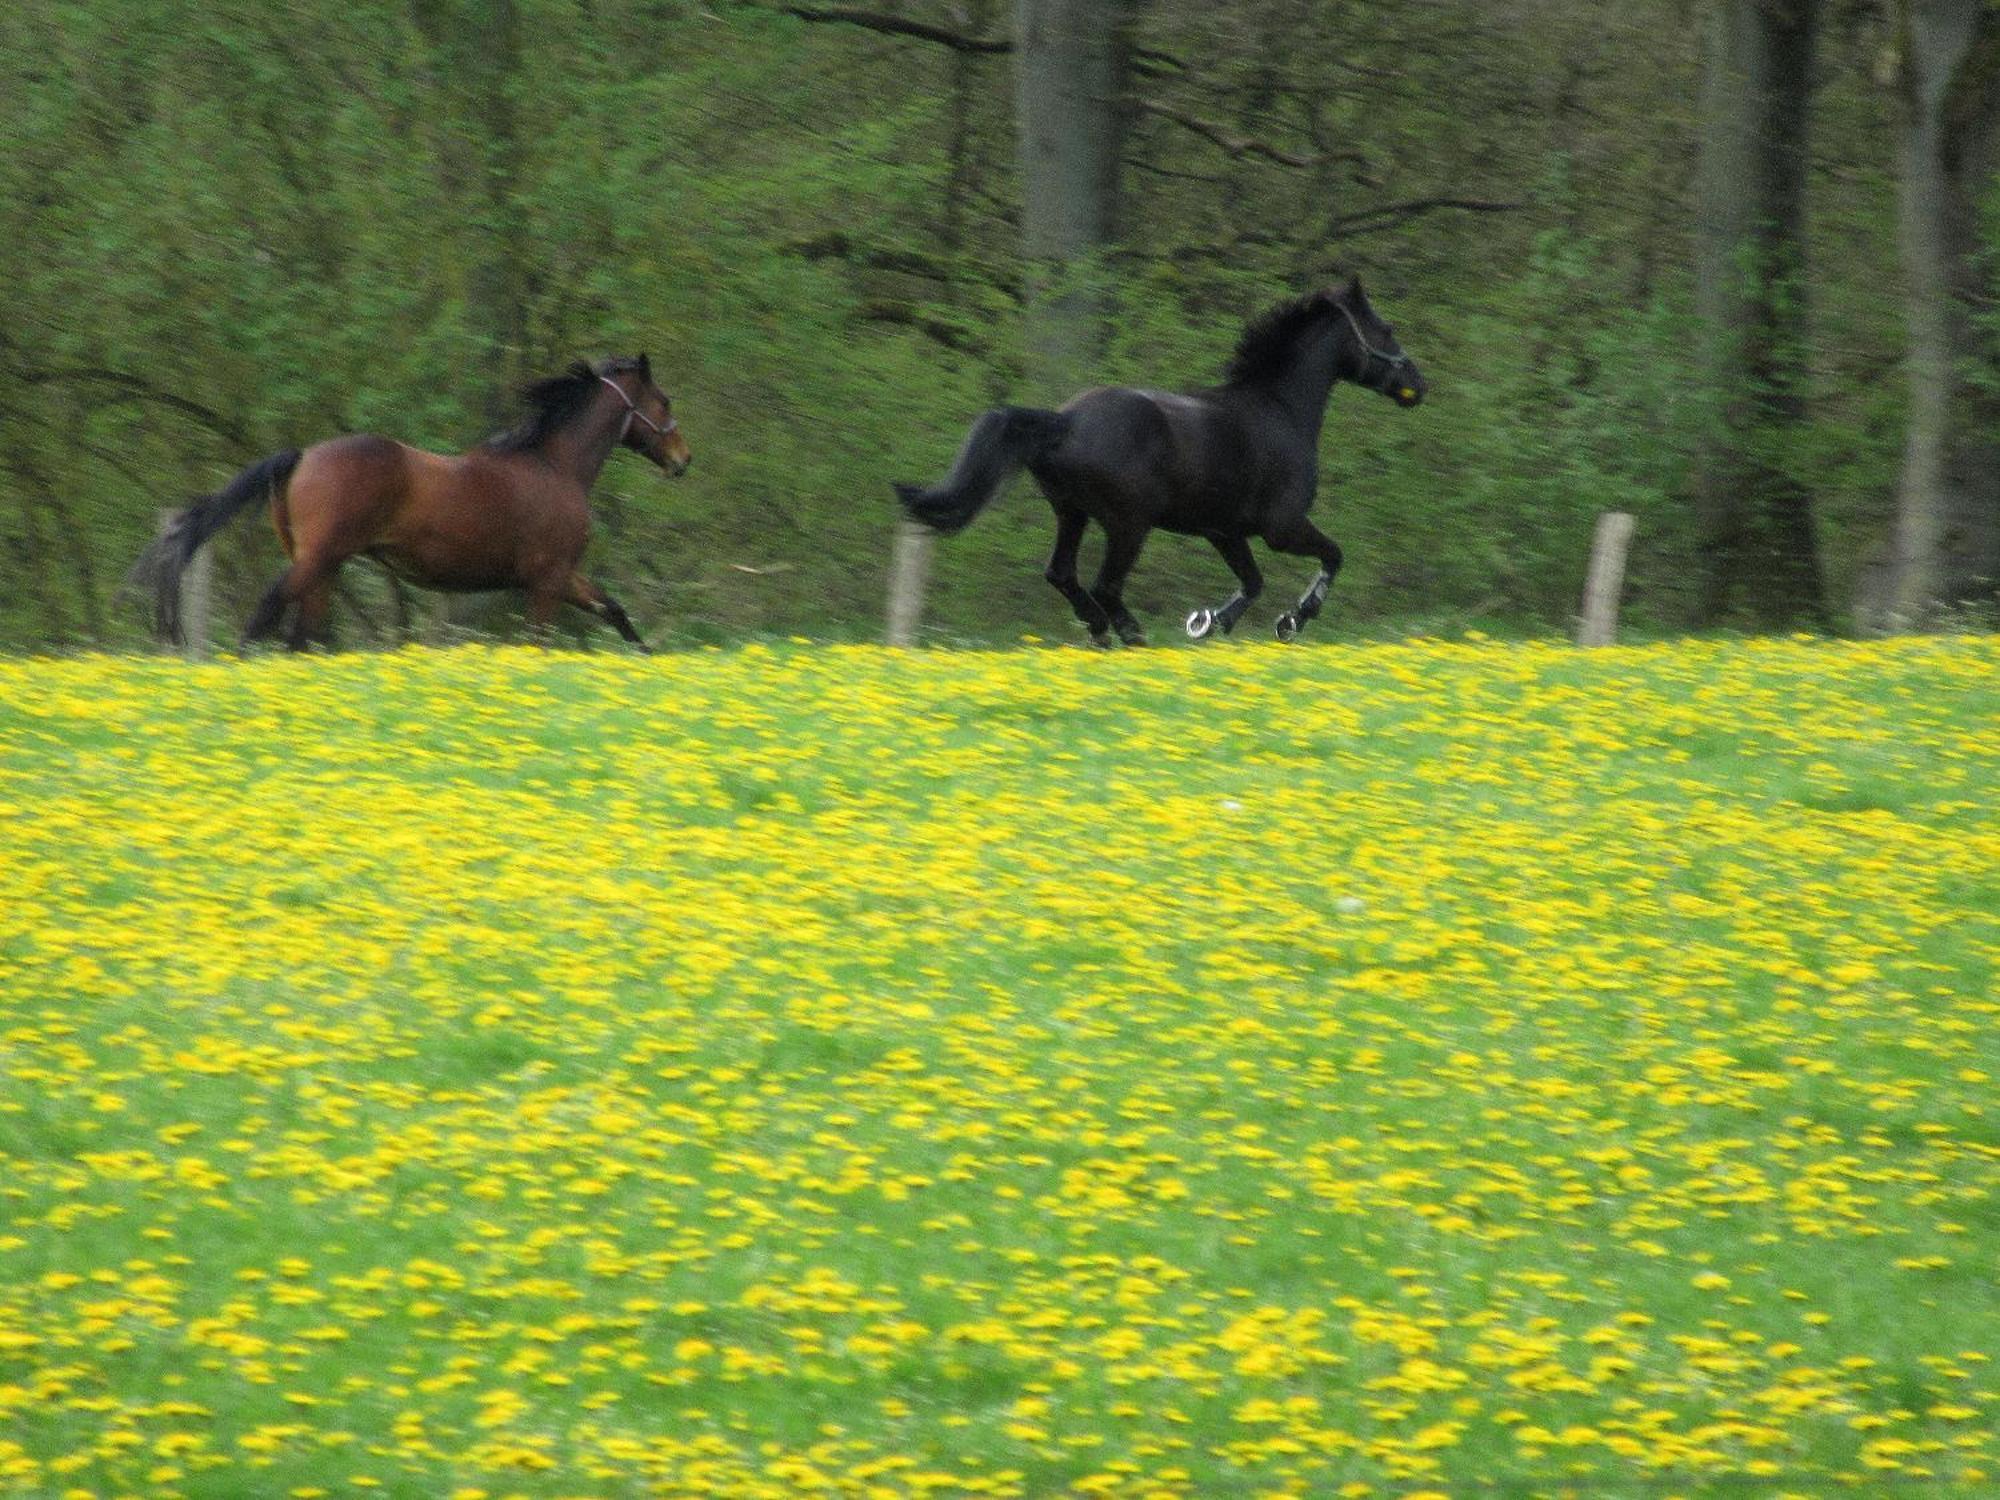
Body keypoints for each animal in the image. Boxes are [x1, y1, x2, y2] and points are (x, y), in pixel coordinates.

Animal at [139, 362, 688, 656]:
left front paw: (646, 657)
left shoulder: (562, 575)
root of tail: (302, 456)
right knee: (266, 614)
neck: (553, 466)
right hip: (318, 560)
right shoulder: (547, 579)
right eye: (663, 400)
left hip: (323, 567)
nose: (683, 459)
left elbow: (614, 609)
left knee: (302, 638)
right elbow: (541, 640)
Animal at [892, 280, 1424, 644]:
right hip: (1129, 524)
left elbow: (1252, 582)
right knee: (1105, 585)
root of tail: (1065, 421)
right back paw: (1130, 635)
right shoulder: (1282, 527)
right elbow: (1333, 556)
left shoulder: (1224, 530)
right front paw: (1292, 618)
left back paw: (1102, 631)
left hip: (1072, 513)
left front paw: (1210, 622)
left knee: (1062, 574)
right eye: (1386, 330)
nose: (1419, 384)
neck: (1278, 410)